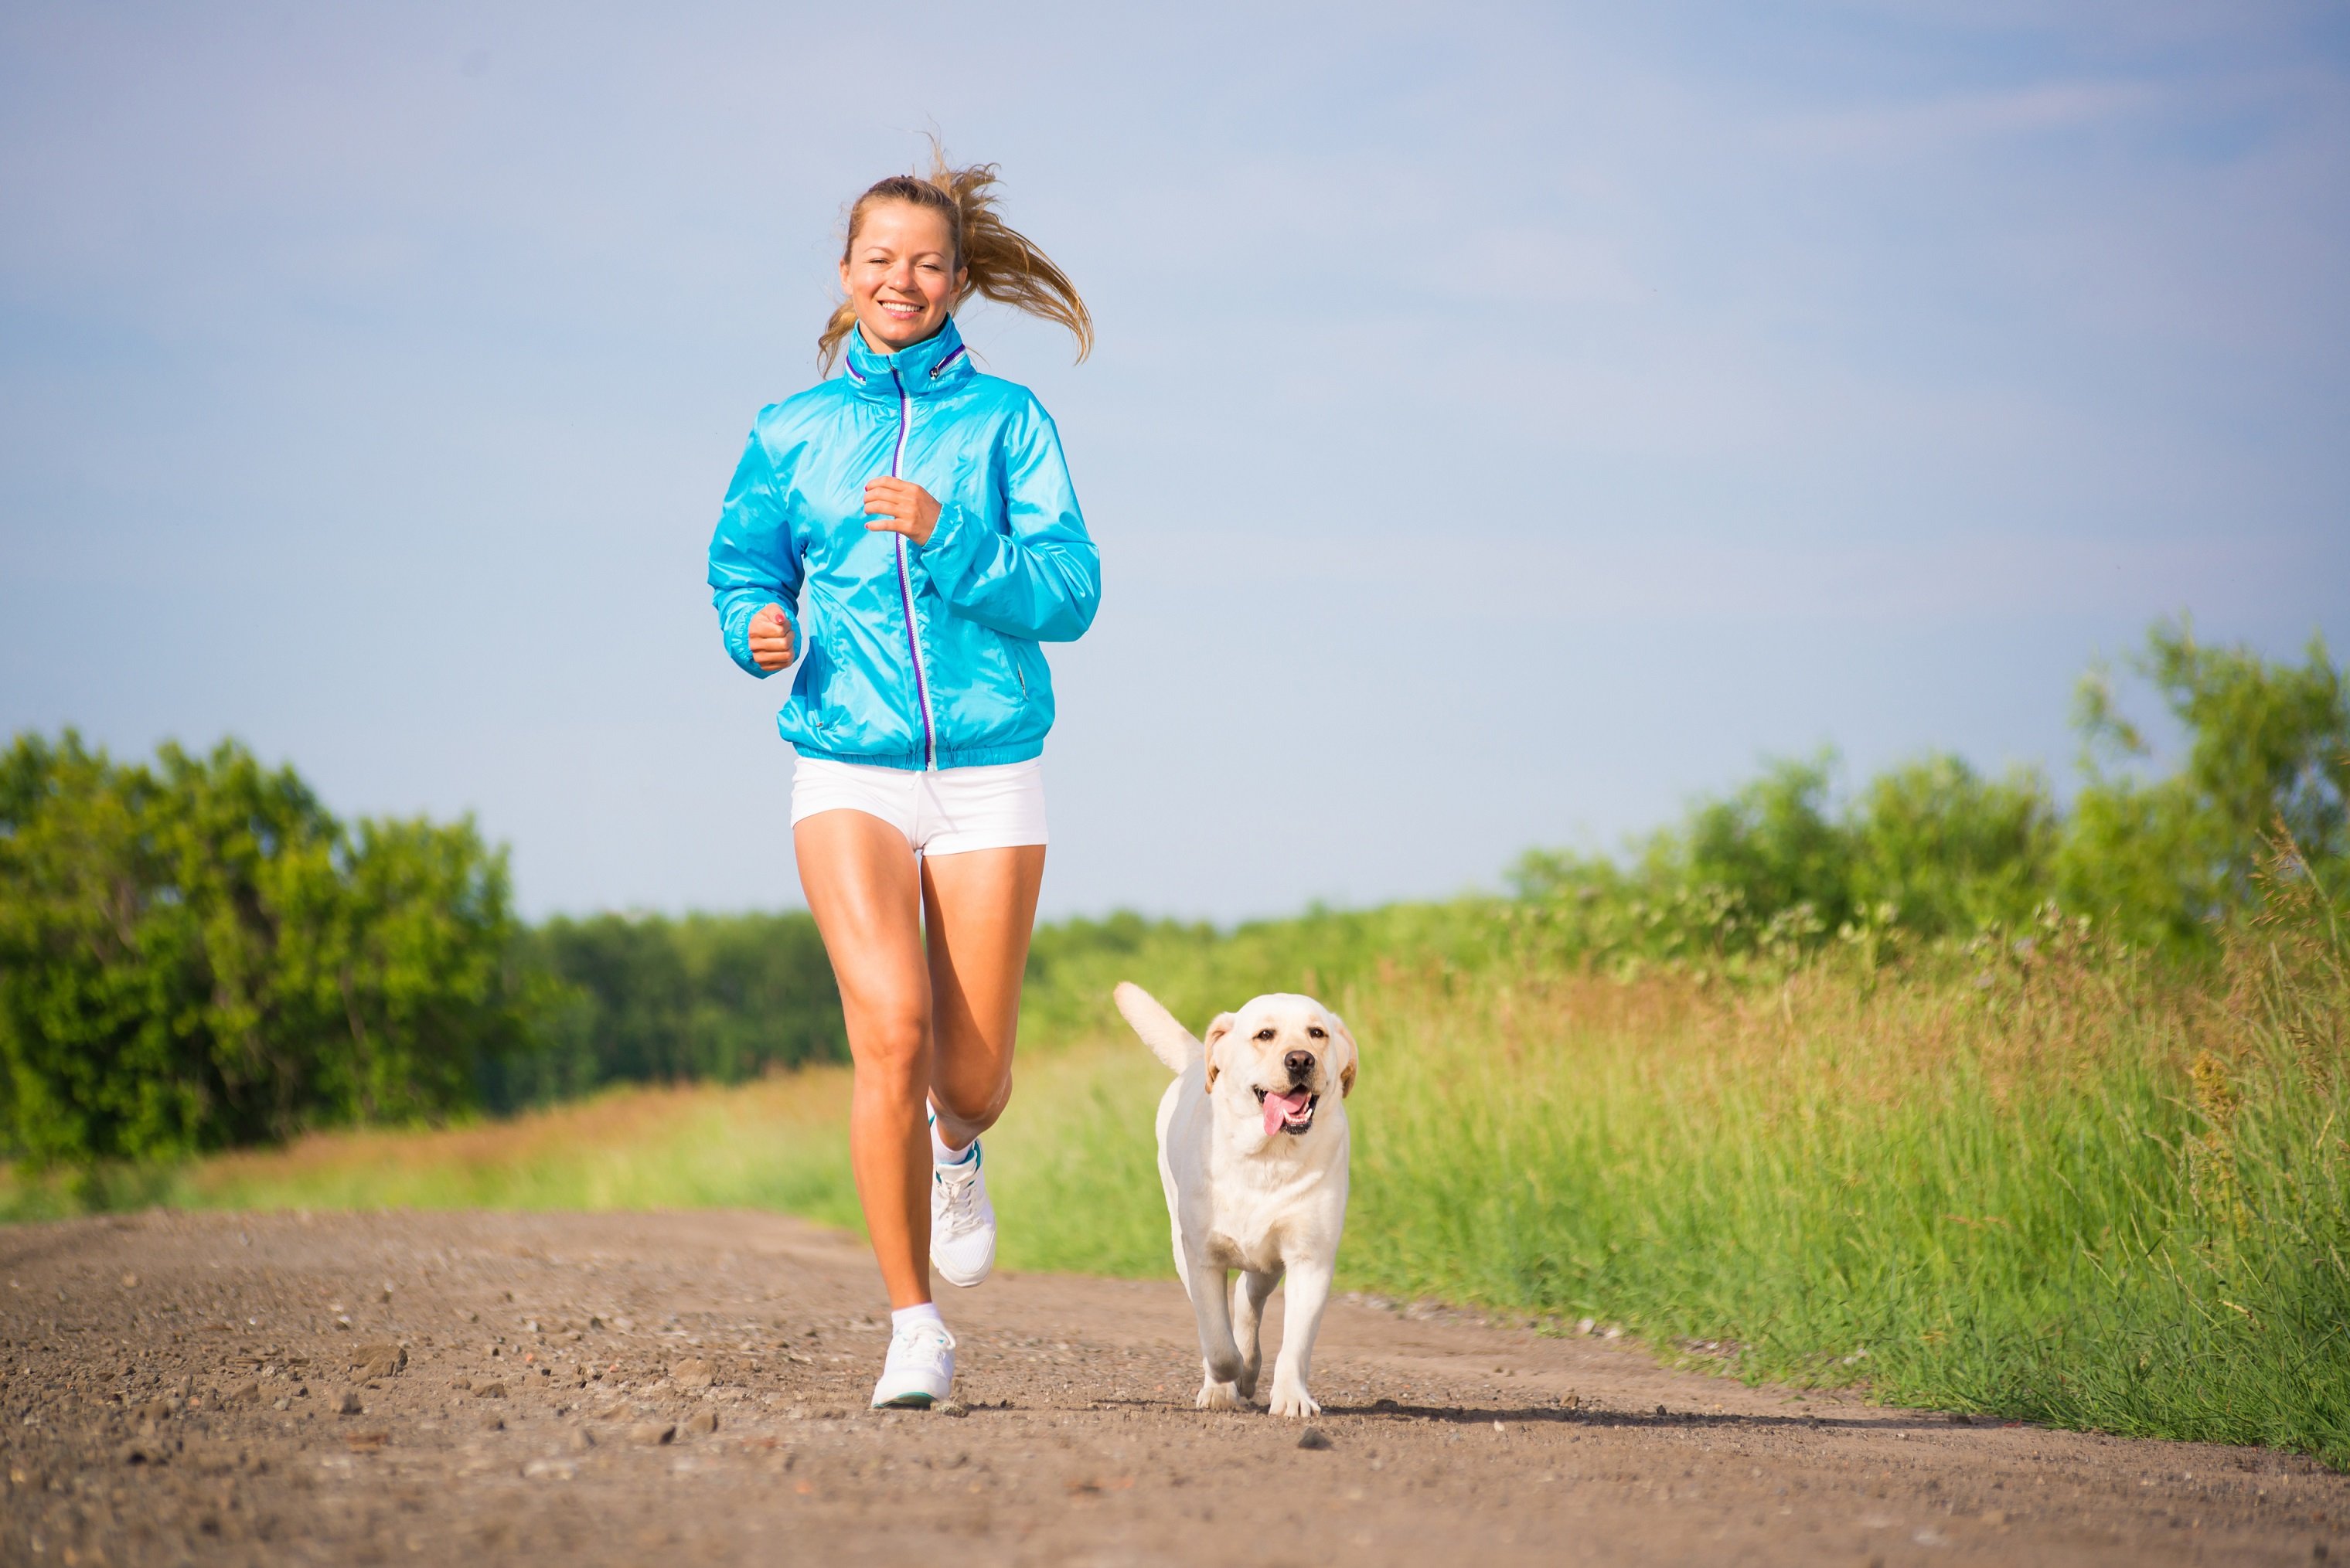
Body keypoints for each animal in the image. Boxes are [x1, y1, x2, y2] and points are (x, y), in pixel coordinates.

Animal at [1113, 987, 1363, 1420]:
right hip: (1181, 1245)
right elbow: (1217, 1341)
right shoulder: (1202, 1258)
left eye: (1317, 1033)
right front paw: (1221, 1382)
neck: (1266, 1156)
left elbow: (1296, 1342)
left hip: (1269, 1264)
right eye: (1265, 1035)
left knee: (1249, 1298)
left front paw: (1292, 1399)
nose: (1301, 1059)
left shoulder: (1310, 1258)